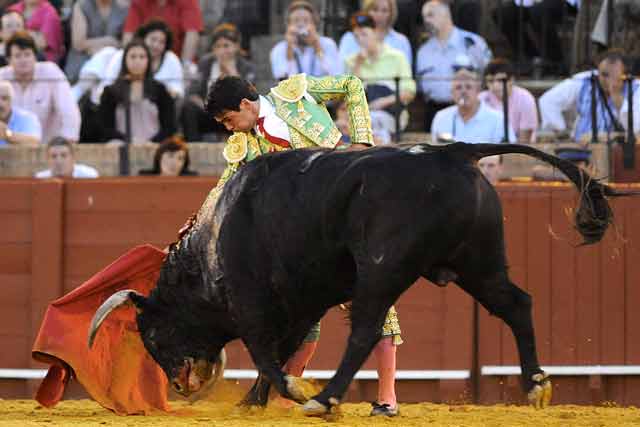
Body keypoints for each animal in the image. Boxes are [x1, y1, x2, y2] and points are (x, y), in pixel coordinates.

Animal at [87, 143, 628, 414]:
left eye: (152, 334)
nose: (179, 387)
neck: (211, 243)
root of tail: (453, 152)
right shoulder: (300, 305)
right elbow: (279, 354)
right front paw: (251, 402)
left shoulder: (252, 304)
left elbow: (265, 353)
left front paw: (292, 392)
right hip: (479, 263)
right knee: (517, 303)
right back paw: (536, 386)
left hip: (382, 269)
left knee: (366, 330)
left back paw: (324, 399)